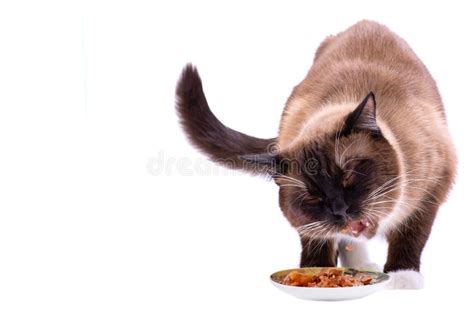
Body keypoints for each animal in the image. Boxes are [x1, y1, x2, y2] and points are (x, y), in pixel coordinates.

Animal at [174, 21, 456, 290]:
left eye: (348, 176)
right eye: (313, 195)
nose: (340, 211)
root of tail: (367, 23)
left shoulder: (429, 188)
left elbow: (410, 234)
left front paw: (402, 276)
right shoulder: (311, 223)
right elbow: (318, 240)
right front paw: (316, 272)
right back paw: (361, 266)